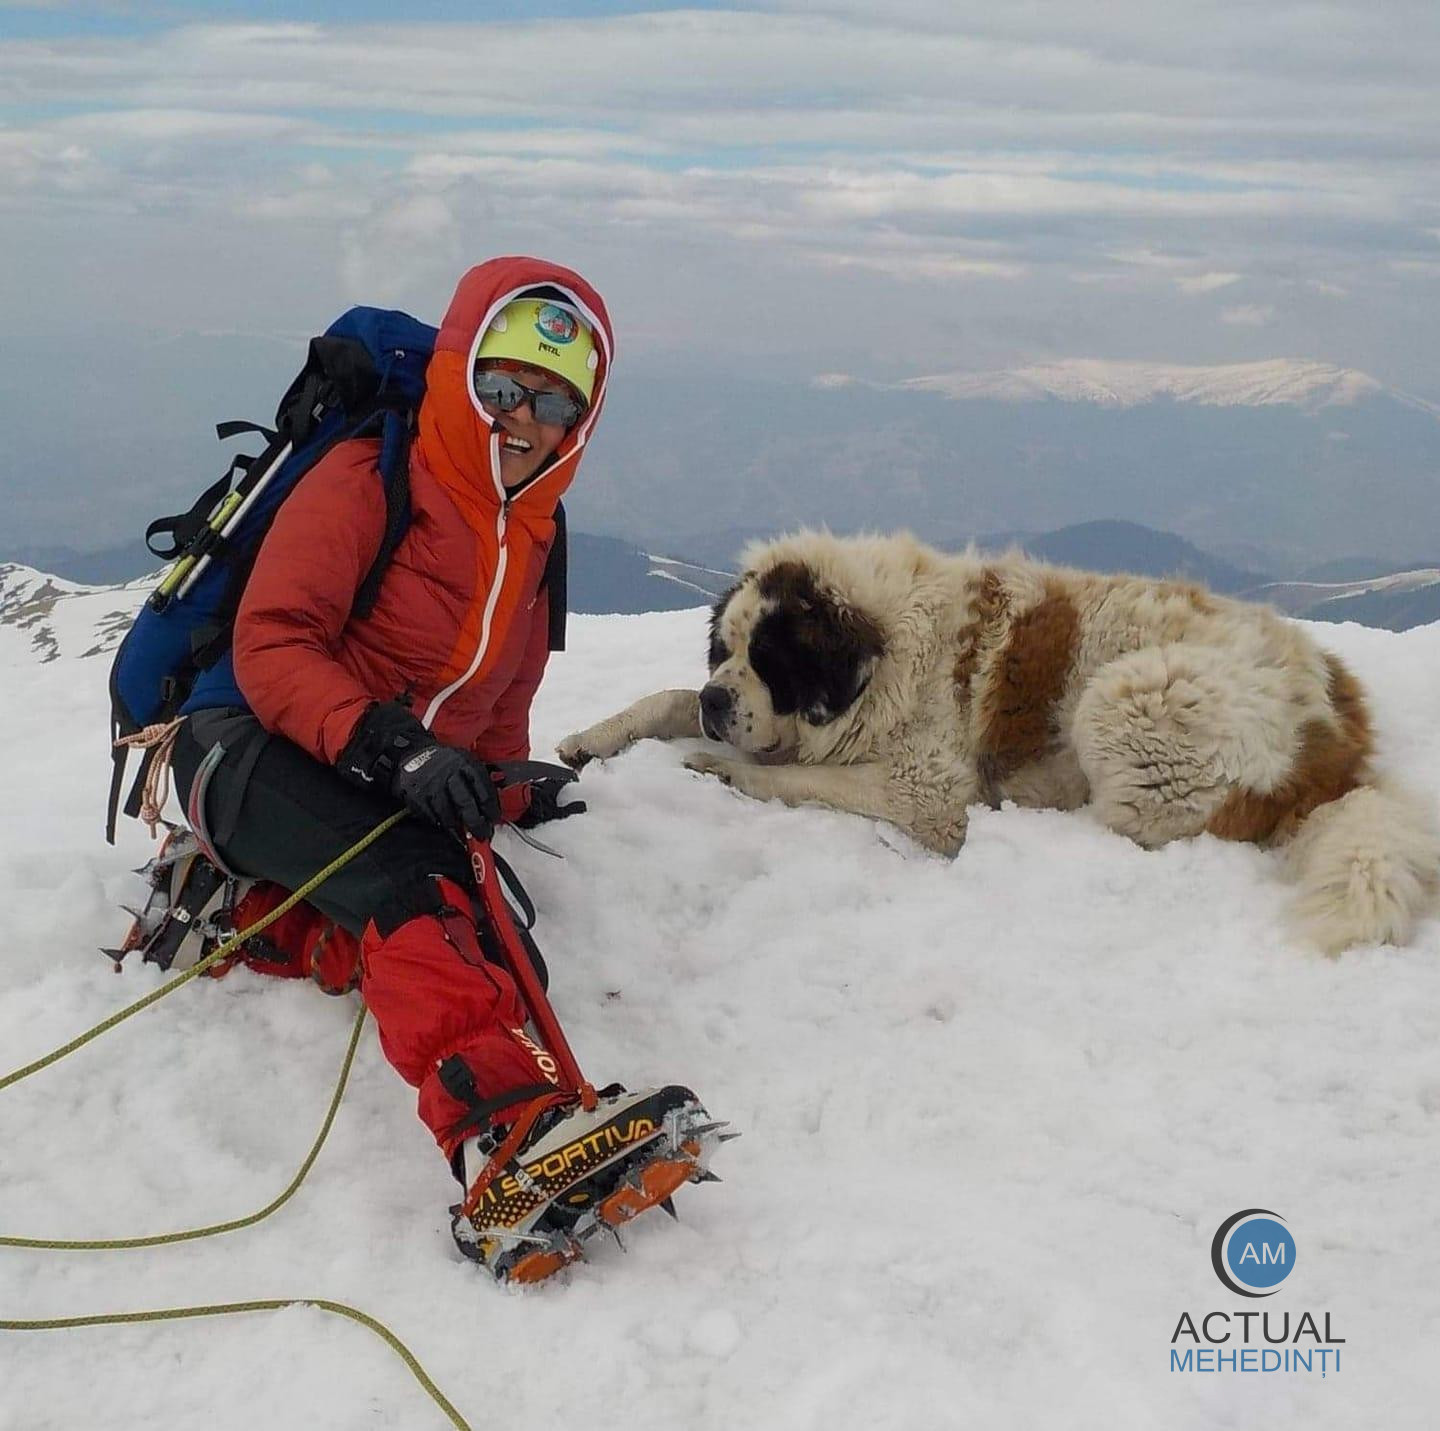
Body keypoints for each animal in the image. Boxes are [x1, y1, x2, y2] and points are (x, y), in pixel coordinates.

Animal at [558, 526, 1440, 950]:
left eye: (771, 661)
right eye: (723, 652)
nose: (719, 697)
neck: (883, 654)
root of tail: (1332, 736)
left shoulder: (926, 787)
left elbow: (807, 778)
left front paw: (720, 772)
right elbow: (665, 699)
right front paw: (592, 738)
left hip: (1127, 695)